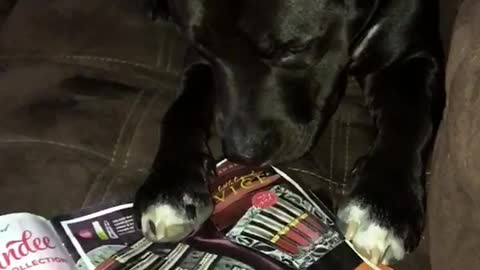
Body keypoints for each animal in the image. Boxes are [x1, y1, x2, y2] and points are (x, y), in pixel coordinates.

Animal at [133, 0, 444, 266]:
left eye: (294, 49)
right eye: (204, 47)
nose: (242, 152)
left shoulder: (410, 58)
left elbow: (411, 119)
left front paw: (384, 204)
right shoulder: (198, 60)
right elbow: (182, 107)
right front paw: (171, 184)